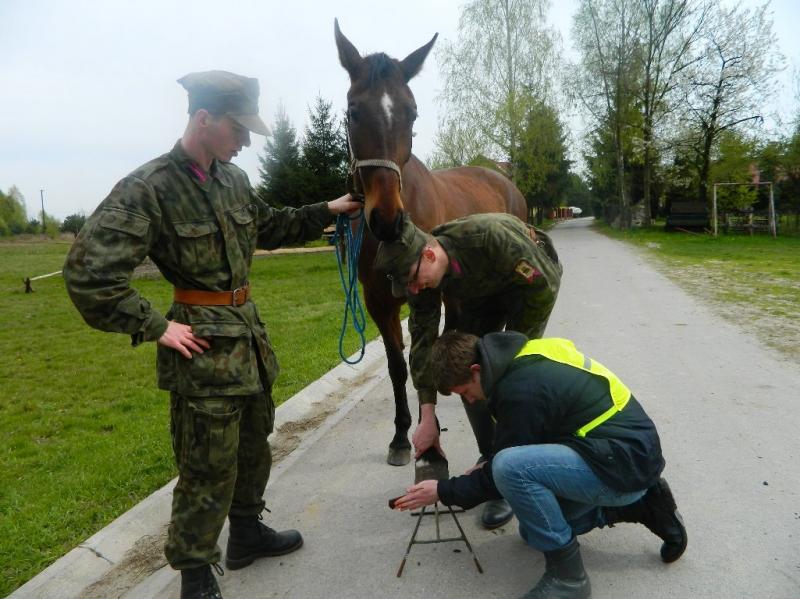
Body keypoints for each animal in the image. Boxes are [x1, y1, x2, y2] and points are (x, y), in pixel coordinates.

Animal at [334, 20, 527, 466]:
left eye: (412, 112)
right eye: (353, 111)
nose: (387, 220)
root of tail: (501, 177)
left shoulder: (429, 291)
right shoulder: (378, 301)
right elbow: (397, 366)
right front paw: (401, 436)